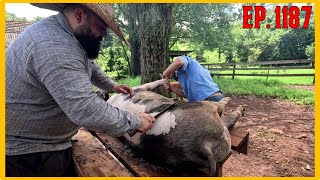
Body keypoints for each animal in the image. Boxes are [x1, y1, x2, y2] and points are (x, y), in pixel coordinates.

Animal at [105, 80, 245, 176]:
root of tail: (204, 145)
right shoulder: (139, 88)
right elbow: (150, 84)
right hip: (206, 109)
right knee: (221, 108)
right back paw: (236, 104)